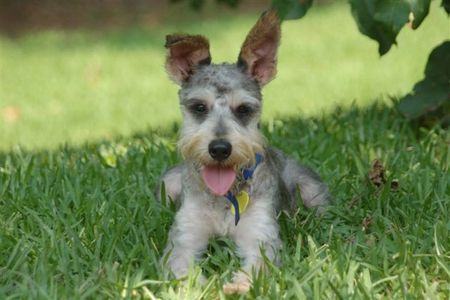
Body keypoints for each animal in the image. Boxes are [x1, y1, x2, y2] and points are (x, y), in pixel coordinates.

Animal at [158, 9, 330, 296]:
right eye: (199, 107)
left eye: (244, 109)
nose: (219, 149)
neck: (225, 197)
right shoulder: (185, 236)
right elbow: (181, 267)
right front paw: (200, 288)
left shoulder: (260, 235)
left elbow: (259, 265)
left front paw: (238, 285)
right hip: (167, 184)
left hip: (312, 190)